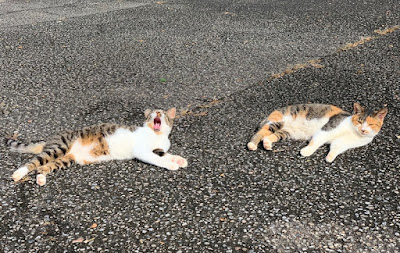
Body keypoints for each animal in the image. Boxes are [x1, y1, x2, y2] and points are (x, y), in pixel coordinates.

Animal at [7, 107, 188, 186]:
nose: (157, 113)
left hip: (66, 159)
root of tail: (49, 139)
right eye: (152, 114)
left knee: (43, 167)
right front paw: (171, 164)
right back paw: (18, 174)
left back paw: (40, 178)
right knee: (33, 162)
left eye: (162, 114)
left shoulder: (159, 149)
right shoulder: (142, 151)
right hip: (59, 148)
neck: (158, 136)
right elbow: (158, 159)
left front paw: (179, 160)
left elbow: (166, 154)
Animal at [247, 102, 388, 162]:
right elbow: (316, 141)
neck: (353, 132)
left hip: (285, 133)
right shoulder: (328, 128)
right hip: (277, 122)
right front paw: (306, 151)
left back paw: (267, 144)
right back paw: (252, 144)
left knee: (269, 136)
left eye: (371, 124)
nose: (363, 129)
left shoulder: (344, 143)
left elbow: (336, 147)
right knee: (260, 132)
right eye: (359, 121)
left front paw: (330, 158)